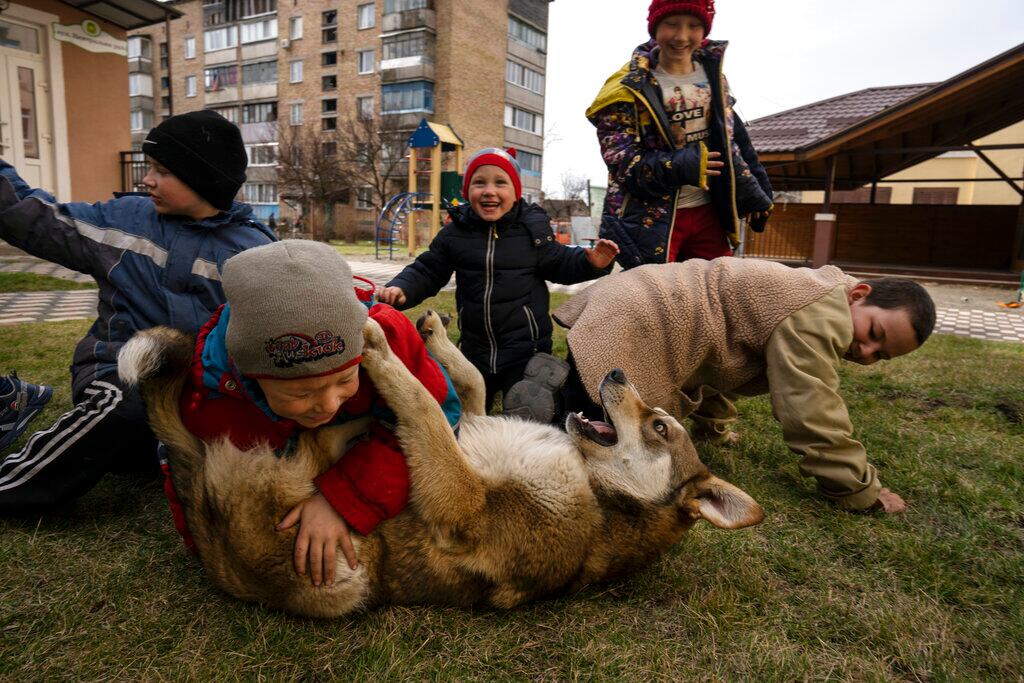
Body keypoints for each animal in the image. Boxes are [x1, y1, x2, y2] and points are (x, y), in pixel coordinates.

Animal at [117, 311, 761, 618]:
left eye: (661, 427)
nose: (618, 372)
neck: (596, 488)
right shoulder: (472, 419)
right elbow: (467, 381)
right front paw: (430, 335)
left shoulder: (464, 504)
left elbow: (424, 407)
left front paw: (381, 350)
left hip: (344, 572)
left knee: (312, 454)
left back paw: (344, 423)